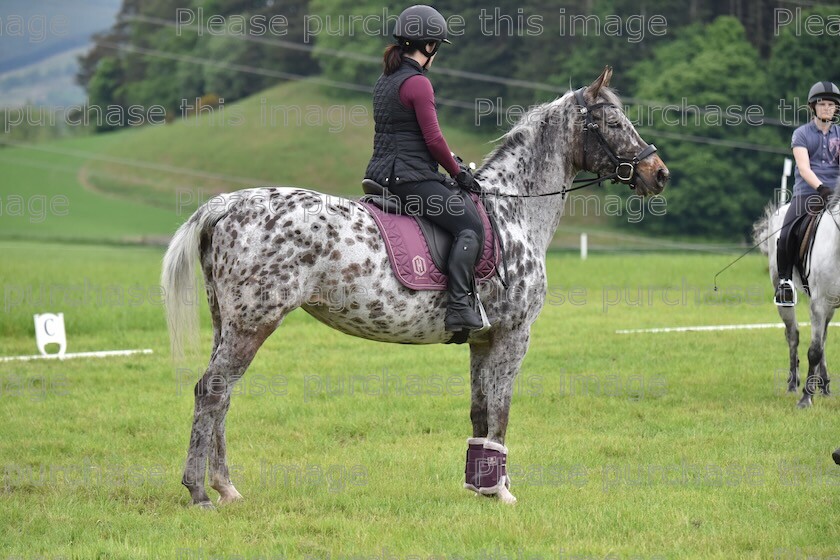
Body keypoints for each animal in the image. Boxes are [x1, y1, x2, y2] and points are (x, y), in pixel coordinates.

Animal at [162, 66, 668, 508]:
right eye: (614, 122)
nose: (659, 173)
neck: (515, 211)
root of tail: (228, 205)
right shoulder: (514, 336)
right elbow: (501, 413)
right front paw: (503, 492)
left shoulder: (483, 340)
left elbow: (480, 411)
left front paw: (480, 486)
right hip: (254, 323)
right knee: (212, 391)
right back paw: (200, 492)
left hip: (228, 324)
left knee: (221, 396)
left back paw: (226, 488)